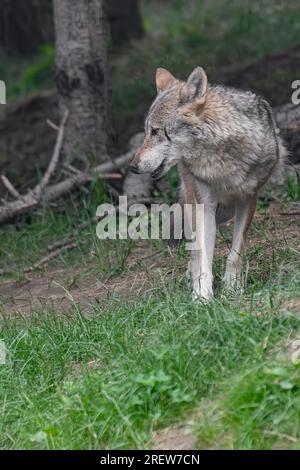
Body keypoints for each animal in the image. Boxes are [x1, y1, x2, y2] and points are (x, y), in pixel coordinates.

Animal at [128, 66, 286, 302]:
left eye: (155, 131)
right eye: (147, 131)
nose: (132, 167)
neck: (222, 159)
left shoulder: (248, 200)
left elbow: (235, 252)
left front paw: (232, 289)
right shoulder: (205, 207)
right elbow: (203, 257)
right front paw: (202, 298)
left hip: (226, 211)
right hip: (196, 205)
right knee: (193, 248)